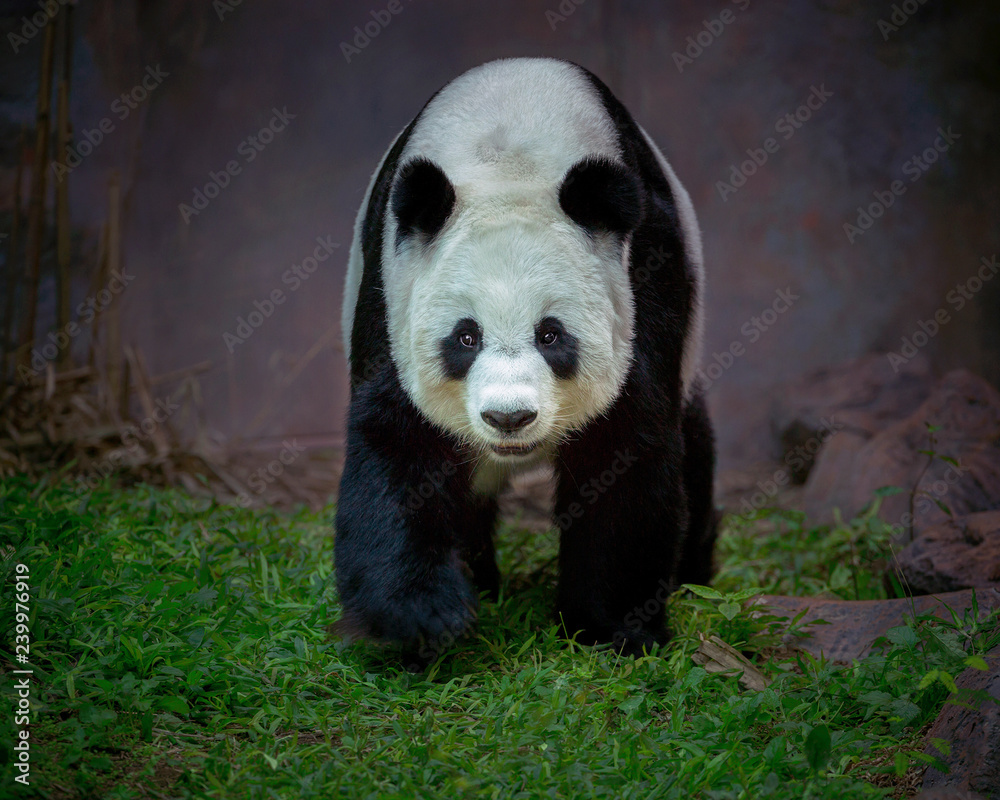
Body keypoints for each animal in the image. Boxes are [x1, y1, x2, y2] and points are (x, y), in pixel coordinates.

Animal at [336, 57, 717, 657]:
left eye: (551, 336)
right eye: (466, 338)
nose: (509, 417)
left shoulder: (644, 276)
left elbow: (627, 446)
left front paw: (613, 628)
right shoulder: (392, 289)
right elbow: (398, 444)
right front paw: (424, 616)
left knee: (694, 451)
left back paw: (693, 574)